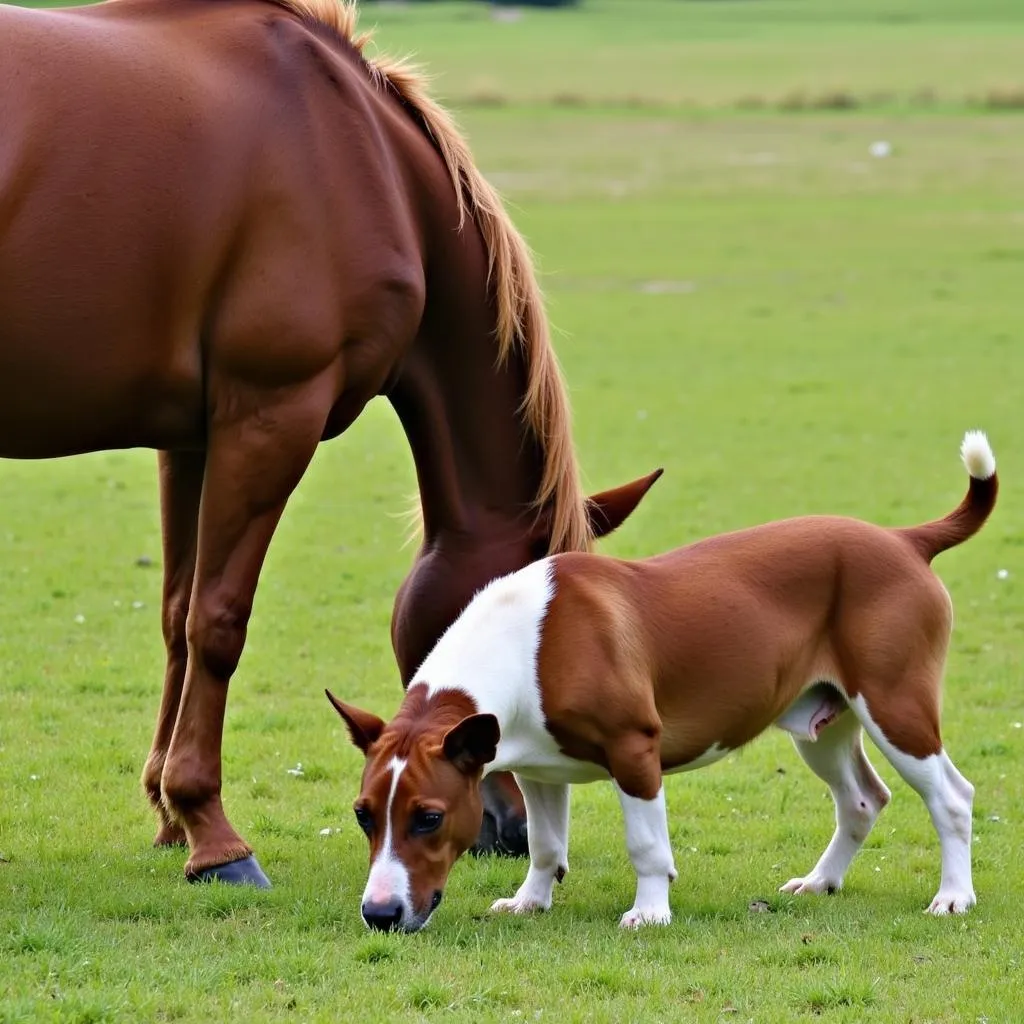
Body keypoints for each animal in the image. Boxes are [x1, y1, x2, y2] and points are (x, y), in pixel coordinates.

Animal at [0, 0, 659, 880]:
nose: (515, 829)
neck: (356, 150)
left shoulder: (192, 437)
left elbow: (177, 615)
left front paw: (169, 815)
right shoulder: (271, 415)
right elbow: (218, 623)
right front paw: (213, 832)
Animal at [331, 430, 995, 929]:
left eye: (429, 817)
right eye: (364, 815)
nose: (381, 914)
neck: (522, 643)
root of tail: (904, 540)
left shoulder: (634, 750)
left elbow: (646, 845)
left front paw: (649, 912)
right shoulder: (538, 769)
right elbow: (545, 845)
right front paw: (530, 900)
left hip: (895, 709)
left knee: (951, 797)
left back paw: (953, 896)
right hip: (823, 724)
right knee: (862, 800)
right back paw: (821, 881)